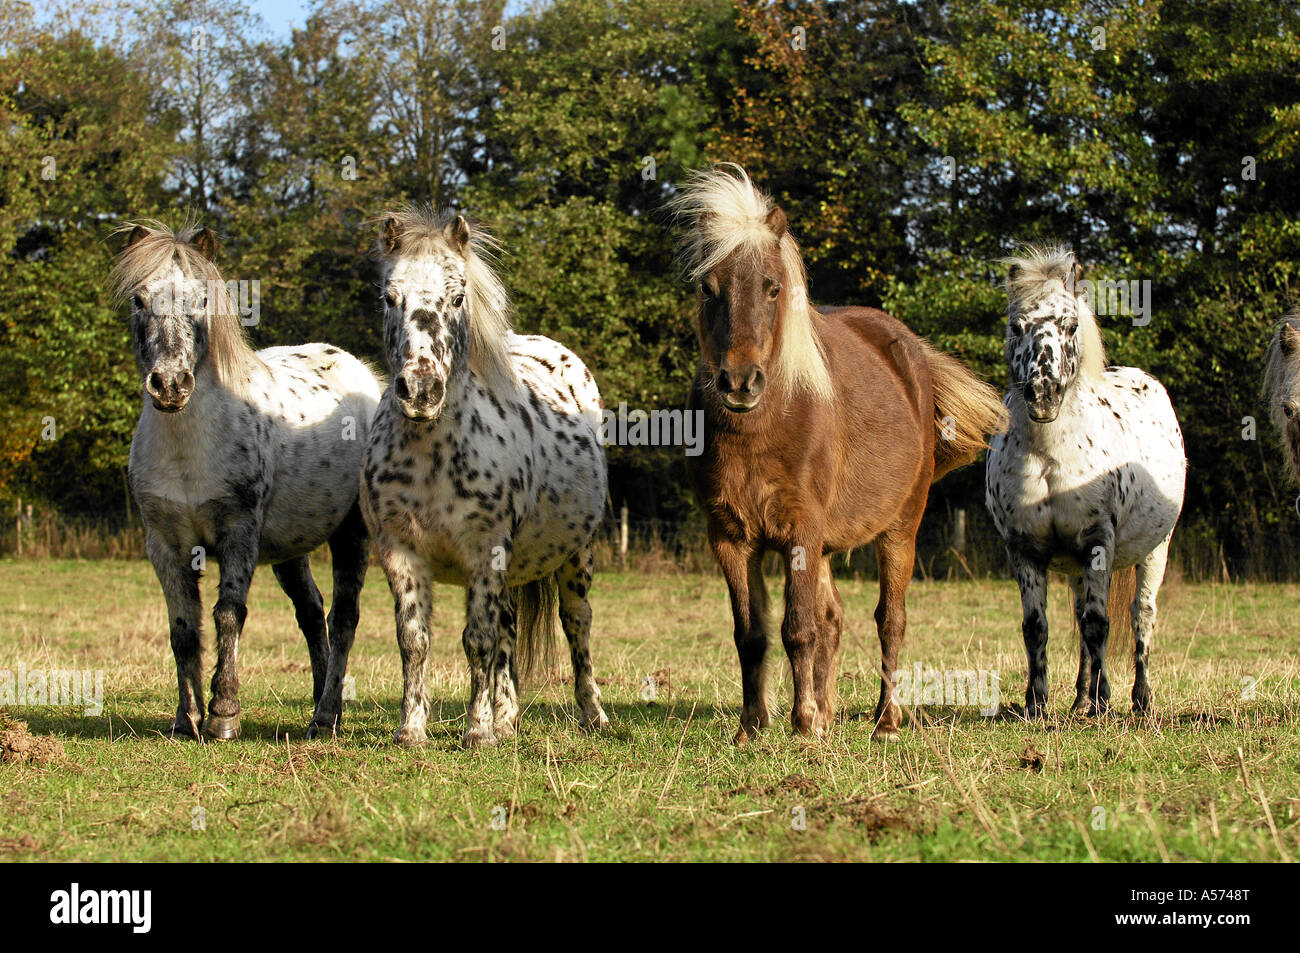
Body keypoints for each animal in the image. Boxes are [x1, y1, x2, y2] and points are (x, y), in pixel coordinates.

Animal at [112, 219, 379, 738]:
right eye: (138, 298)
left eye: (201, 299)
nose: (170, 384)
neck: (189, 448)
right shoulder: (164, 544)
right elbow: (183, 627)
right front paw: (185, 719)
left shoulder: (238, 533)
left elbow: (228, 615)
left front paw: (223, 714)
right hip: (290, 549)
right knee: (311, 613)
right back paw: (321, 704)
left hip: (351, 533)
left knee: (343, 618)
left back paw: (326, 717)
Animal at [361, 204, 608, 748]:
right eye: (389, 297)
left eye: (457, 297)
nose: (421, 390)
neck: (432, 457)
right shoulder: (400, 553)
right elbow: (415, 641)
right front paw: (412, 730)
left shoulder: (484, 551)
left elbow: (476, 641)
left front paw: (476, 732)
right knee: (509, 634)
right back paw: (508, 719)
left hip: (576, 558)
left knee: (577, 626)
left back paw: (593, 715)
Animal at [665, 165, 1008, 743]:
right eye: (707, 288)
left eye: (773, 287)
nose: (739, 381)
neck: (764, 426)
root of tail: (910, 352)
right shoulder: (731, 538)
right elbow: (752, 634)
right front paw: (753, 727)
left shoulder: (801, 530)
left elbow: (797, 629)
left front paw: (803, 725)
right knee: (835, 618)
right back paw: (828, 712)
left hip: (900, 530)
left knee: (889, 620)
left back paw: (884, 720)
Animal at [982, 247, 1190, 722]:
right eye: (1016, 325)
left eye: (1071, 325)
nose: (1043, 394)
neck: (1049, 455)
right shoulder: (1024, 548)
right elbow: (1037, 627)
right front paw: (1036, 704)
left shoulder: (1098, 540)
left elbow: (1100, 624)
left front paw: (1102, 709)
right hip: (1079, 566)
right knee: (1082, 618)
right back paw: (1082, 698)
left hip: (1155, 549)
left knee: (1139, 615)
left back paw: (1137, 701)